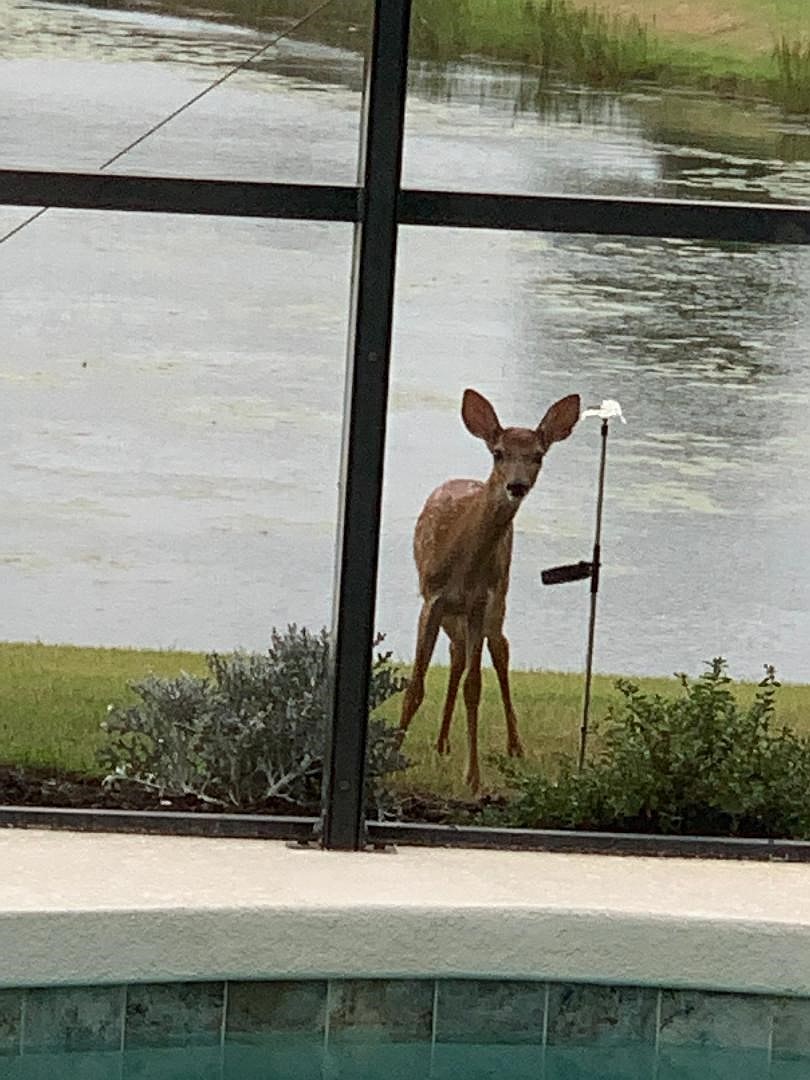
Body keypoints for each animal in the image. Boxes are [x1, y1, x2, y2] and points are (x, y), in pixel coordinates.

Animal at [398, 387, 581, 793]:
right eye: (498, 452)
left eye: (538, 455)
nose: (516, 486)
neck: (464, 563)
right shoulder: (432, 597)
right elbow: (416, 685)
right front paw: (391, 751)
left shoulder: (481, 600)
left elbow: (474, 686)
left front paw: (474, 777)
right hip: (453, 613)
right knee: (457, 653)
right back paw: (442, 741)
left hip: (500, 596)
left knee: (500, 649)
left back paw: (514, 746)